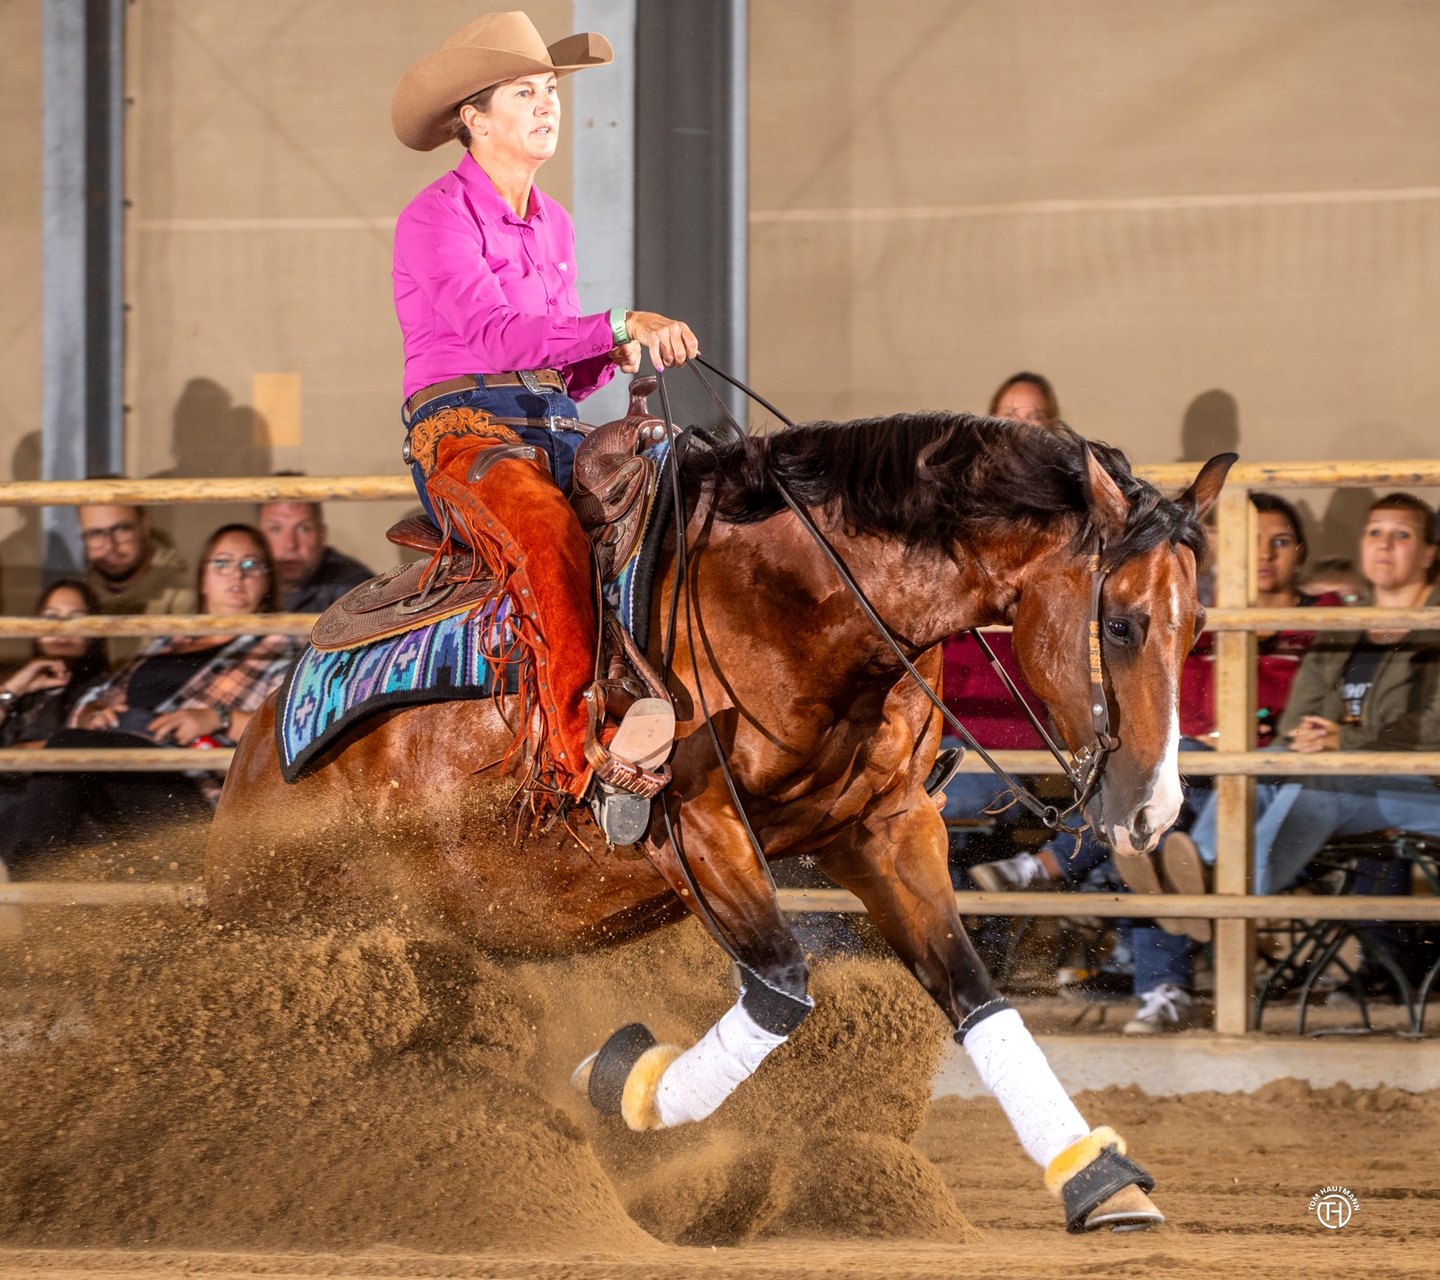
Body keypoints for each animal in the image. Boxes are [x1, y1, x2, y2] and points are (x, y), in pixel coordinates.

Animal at [206, 410, 1234, 1233]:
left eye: (1195, 629)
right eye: (1122, 625)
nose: (1154, 810)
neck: (797, 599)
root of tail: (265, 732)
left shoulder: (886, 828)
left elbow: (973, 991)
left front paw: (1100, 1180)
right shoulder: (695, 831)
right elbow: (780, 990)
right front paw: (621, 1077)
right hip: (286, 914)